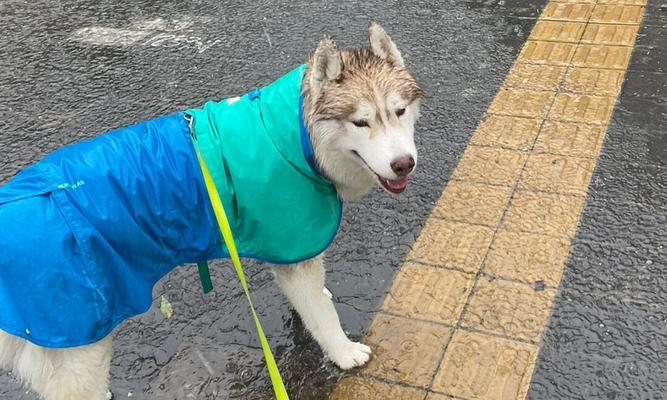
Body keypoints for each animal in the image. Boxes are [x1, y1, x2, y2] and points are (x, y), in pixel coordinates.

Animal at [0, 22, 422, 400]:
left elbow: (312, 299)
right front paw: (344, 352)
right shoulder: (296, 250)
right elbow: (322, 315)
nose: (403, 164)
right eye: (361, 122)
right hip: (82, 344)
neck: (296, 139)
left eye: (400, 111)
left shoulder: (289, 249)